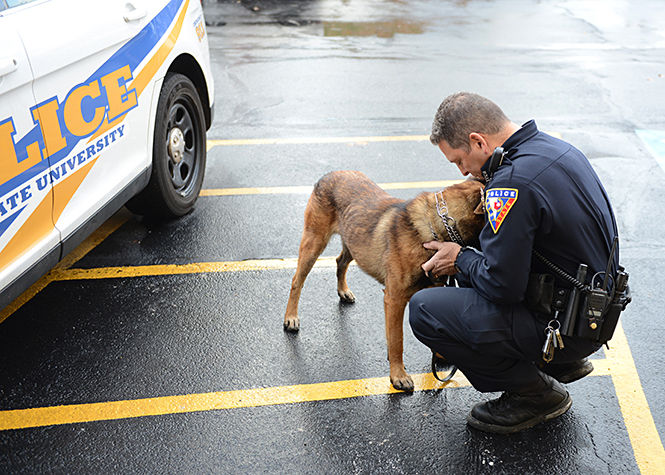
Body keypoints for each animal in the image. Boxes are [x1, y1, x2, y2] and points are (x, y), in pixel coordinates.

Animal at [282, 171, 482, 390]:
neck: (434, 226)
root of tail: (331, 174)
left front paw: (438, 353)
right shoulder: (394, 300)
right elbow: (397, 340)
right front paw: (398, 375)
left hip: (355, 244)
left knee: (340, 261)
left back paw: (343, 291)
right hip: (314, 243)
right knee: (297, 280)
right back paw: (290, 317)